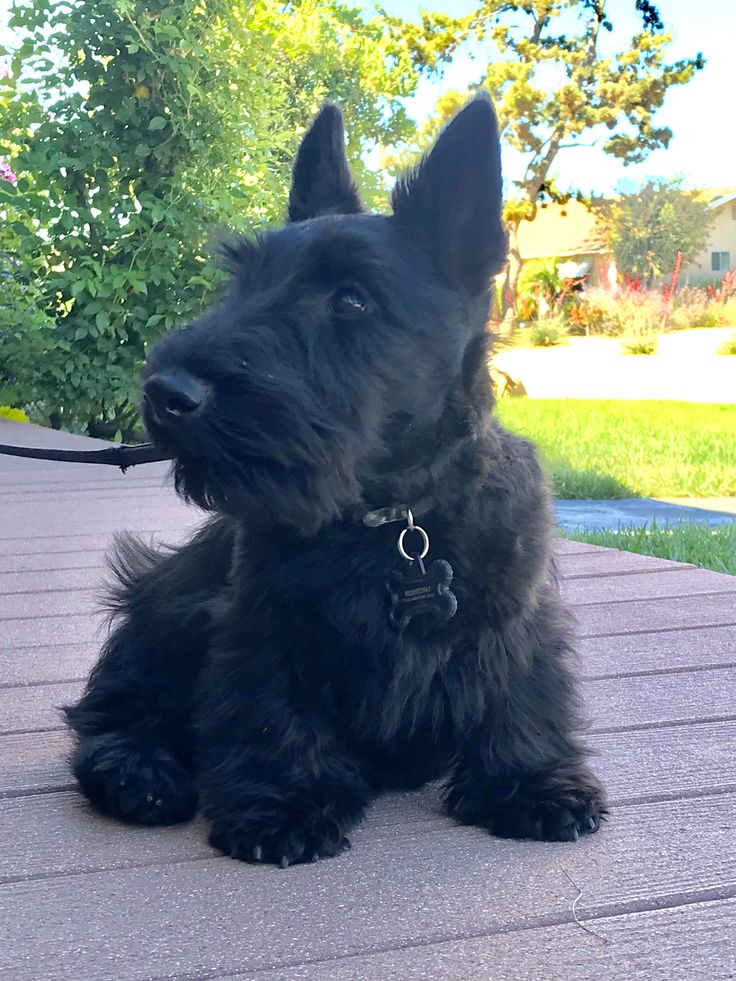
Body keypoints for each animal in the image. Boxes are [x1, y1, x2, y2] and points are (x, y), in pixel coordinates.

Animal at [64, 95, 604, 864]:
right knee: (116, 707)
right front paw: (284, 800)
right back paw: (137, 773)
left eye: (351, 301)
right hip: (166, 601)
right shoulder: (266, 624)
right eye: (245, 280)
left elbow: (519, 695)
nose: (168, 393)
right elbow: (272, 711)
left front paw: (530, 782)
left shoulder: (513, 618)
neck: (396, 519)